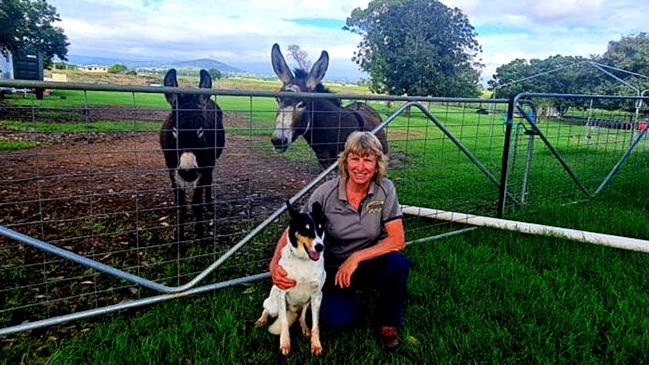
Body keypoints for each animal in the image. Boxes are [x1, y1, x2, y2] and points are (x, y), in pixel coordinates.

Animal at [256, 200, 326, 354]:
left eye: (320, 228)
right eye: (305, 229)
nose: (320, 247)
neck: (303, 261)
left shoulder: (317, 295)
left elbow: (316, 325)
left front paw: (316, 344)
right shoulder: (282, 293)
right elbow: (283, 322)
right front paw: (285, 343)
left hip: (306, 302)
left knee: (301, 317)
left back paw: (304, 328)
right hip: (274, 303)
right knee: (266, 308)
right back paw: (262, 320)